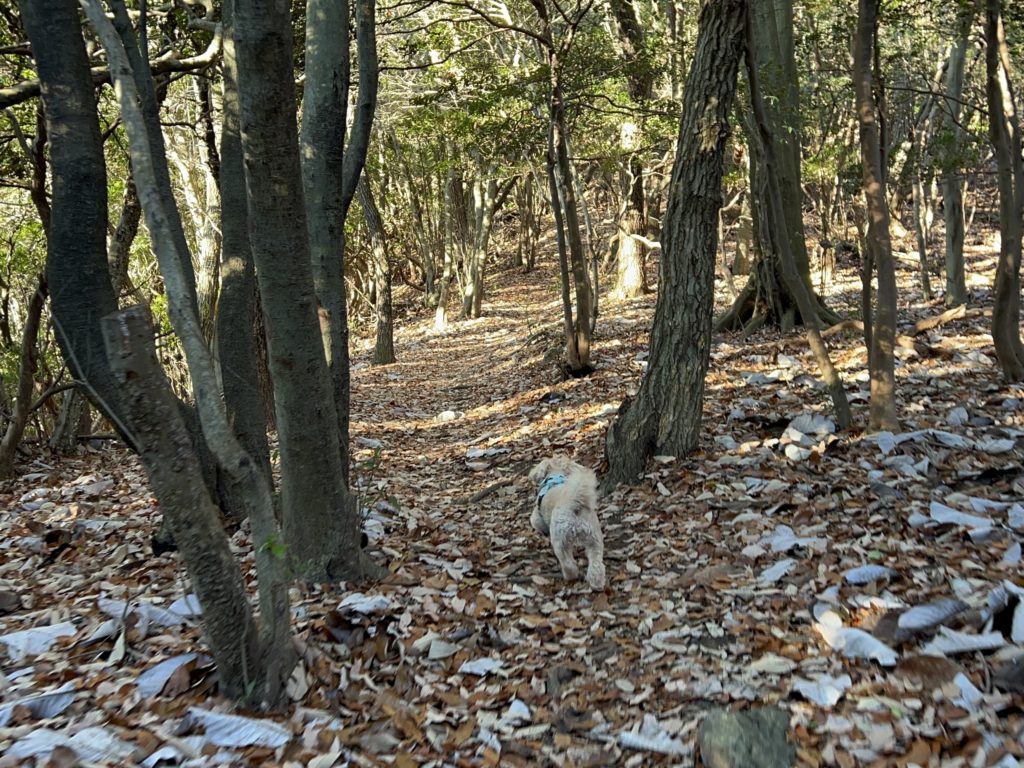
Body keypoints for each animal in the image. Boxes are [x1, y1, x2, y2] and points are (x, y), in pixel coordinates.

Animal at [528, 456, 606, 590]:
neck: (555, 474)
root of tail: (573, 503)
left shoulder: (537, 517)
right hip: (594, 537)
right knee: (596, 563)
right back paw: (597, 584)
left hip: (560, 539)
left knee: (568, 563)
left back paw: (570, 576)